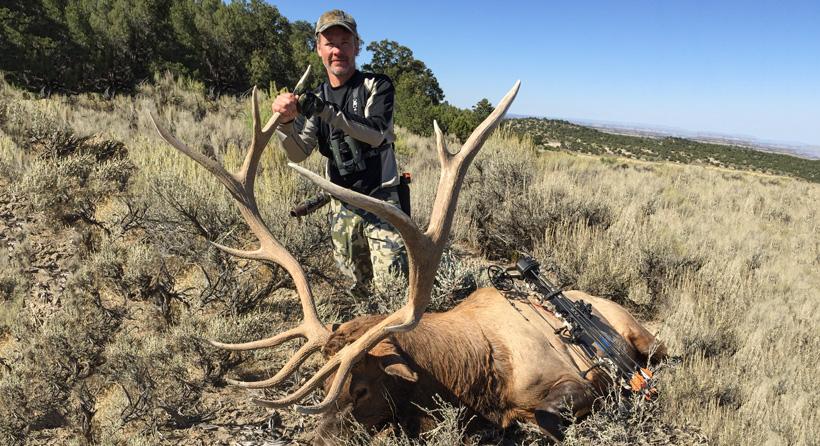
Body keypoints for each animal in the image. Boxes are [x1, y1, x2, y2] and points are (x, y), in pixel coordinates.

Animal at [149, 68, 665, 444]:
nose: (315, 440)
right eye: (321, 380)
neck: (471, 374)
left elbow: (547, 414)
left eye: (360, 388)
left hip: (642, 336)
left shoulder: (569, 381)